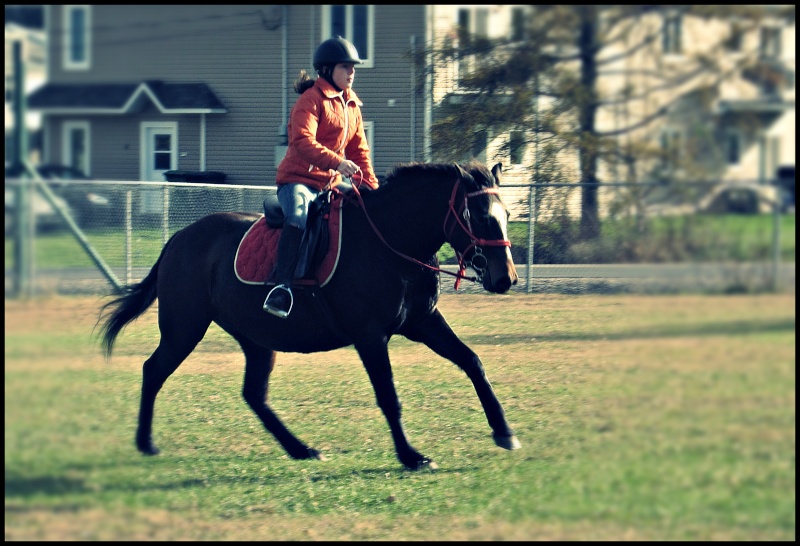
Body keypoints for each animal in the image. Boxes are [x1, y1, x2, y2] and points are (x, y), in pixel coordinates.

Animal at [98, 160, 520, 468]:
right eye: (480, 217)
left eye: (507, 215)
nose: (506, 278)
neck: (390, 242)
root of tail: (179, 238)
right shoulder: (370, 337)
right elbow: (389, 395)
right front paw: (411, 456)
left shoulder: (422, 323)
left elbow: (472, 362)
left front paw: (504, 431)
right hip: (184, 329)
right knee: (153, 371)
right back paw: (146, 442)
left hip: (255, 339)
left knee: (254, 394)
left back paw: (300, 449)